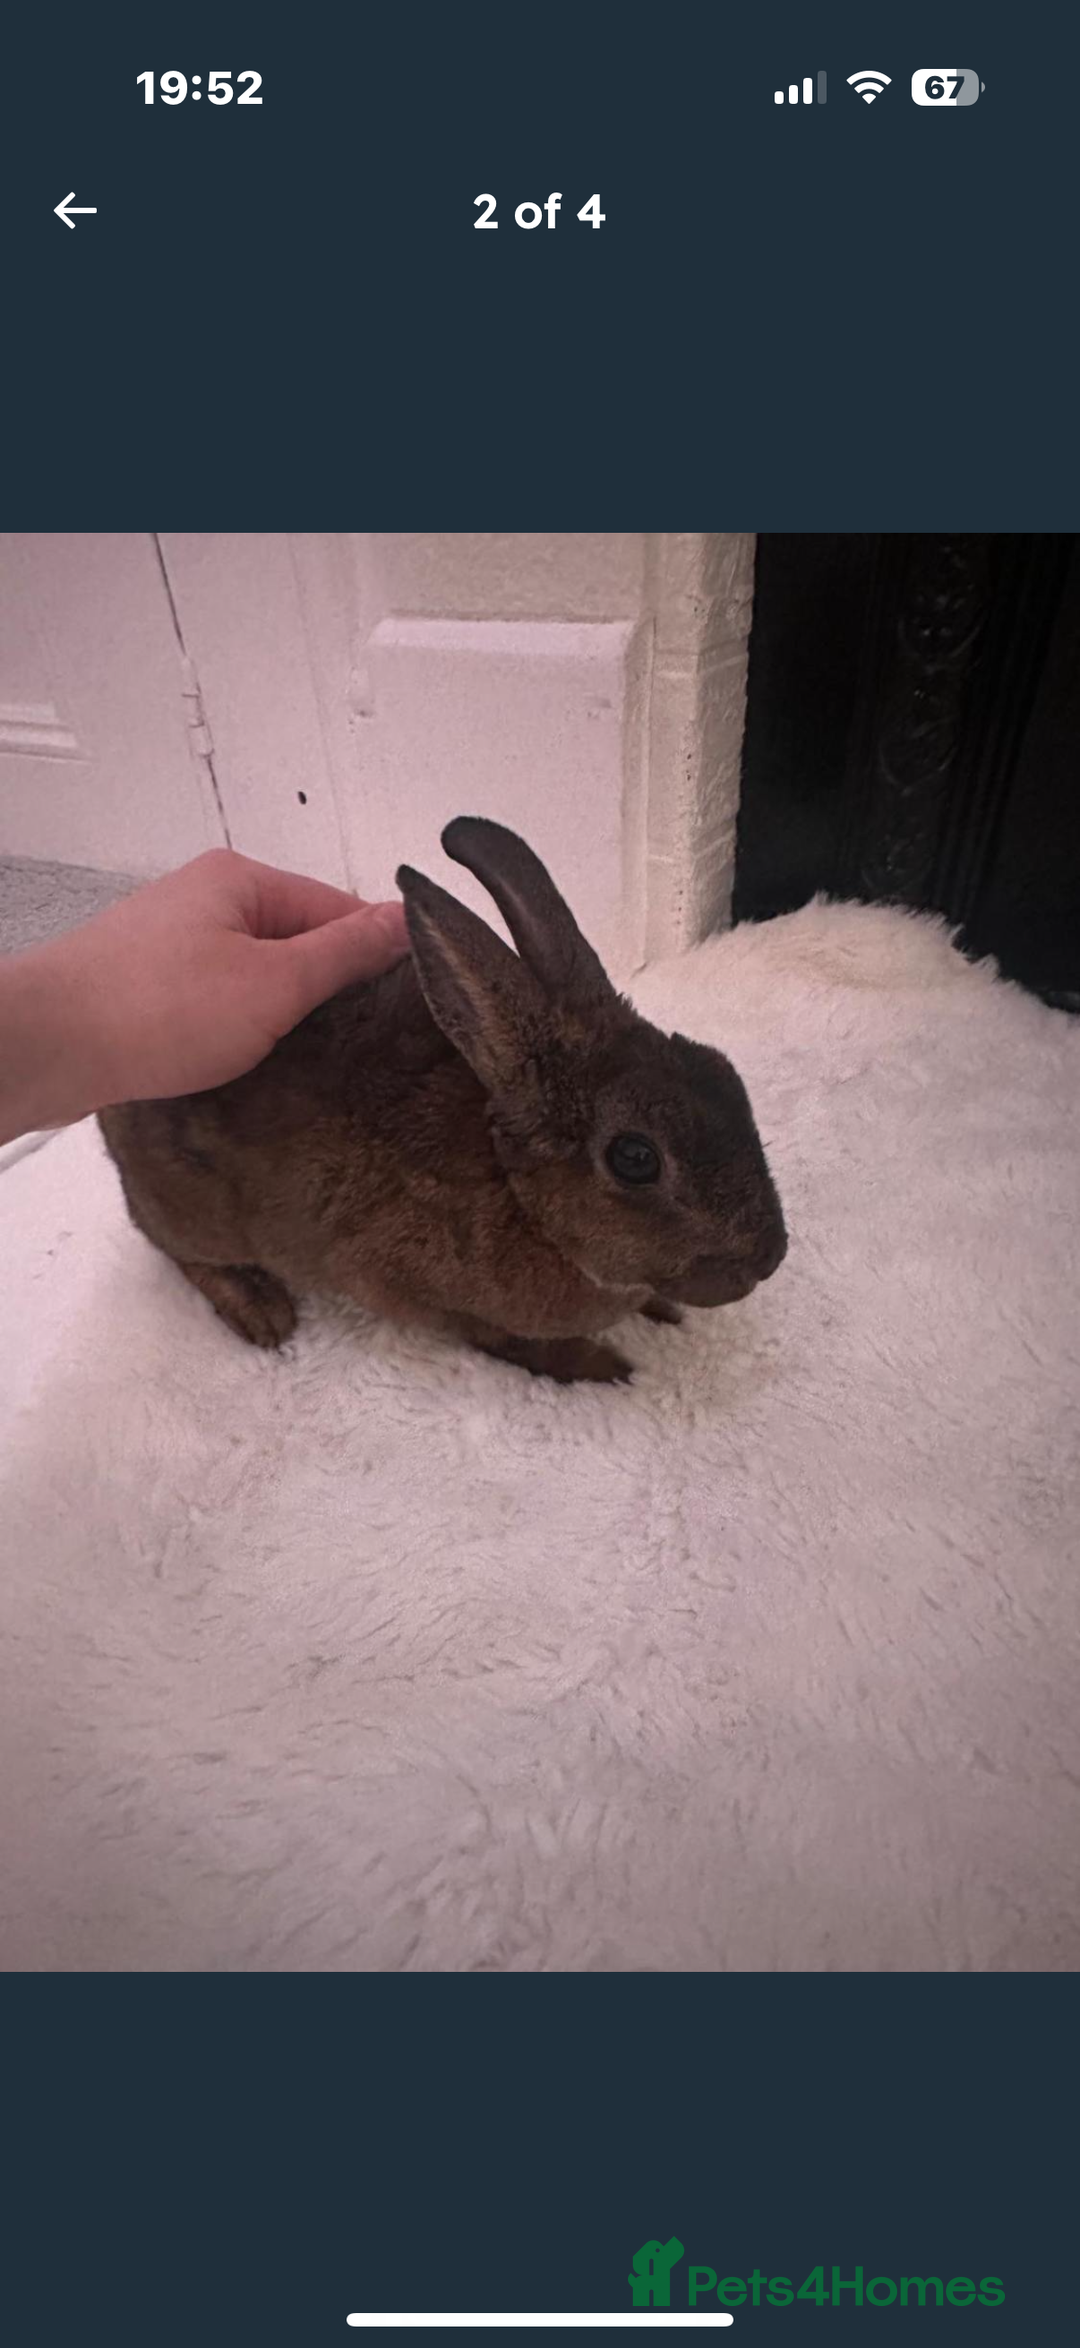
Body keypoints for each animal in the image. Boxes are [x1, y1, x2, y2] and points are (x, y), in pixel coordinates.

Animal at [98, 817, 787, 1382]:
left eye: (722, 1068)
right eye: (636, 1158)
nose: (770, 1258)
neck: (519, 1196)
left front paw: (663, 1309)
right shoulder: (431, 1296)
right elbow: (510, 1344)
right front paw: (602, 1366)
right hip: (194, 1213)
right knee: (176, 1250)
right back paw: (263, 1314)